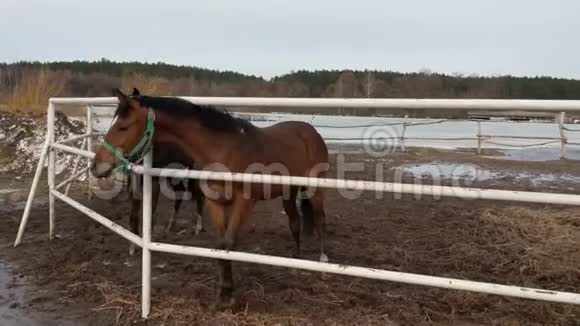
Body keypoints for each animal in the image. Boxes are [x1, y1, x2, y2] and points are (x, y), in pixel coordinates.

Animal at [93, 87, 334, 306]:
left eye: (123, 126)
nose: (96, 167)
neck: (222, 149)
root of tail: (310, 131)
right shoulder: (215, 203)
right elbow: (220, 245)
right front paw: (223, 292)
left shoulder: (243, 203)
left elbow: (229, 243)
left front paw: (230, 296)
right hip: (288, 191)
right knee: (295, 222)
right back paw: (296, 261)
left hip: (316, 189)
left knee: (321, 220)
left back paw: (323, 264)